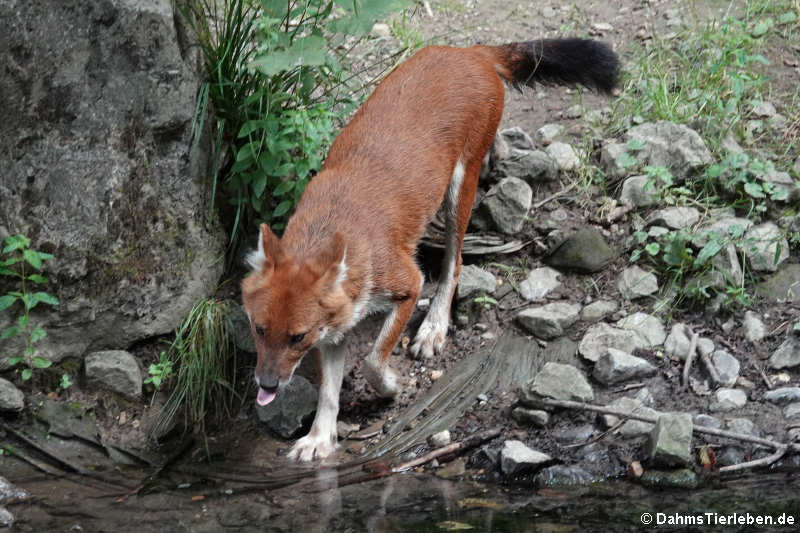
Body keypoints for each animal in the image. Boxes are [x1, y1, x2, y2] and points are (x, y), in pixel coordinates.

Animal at [244, 38, 620, 462]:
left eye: (297, 338)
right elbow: (328, 391)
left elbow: (373, 359)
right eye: (258, 329)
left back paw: (433, 328)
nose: (267, 385)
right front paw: (319, 439)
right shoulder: (337, 328)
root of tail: (469, 52)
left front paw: (391, 385)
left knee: (454, 263)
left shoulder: (406, 282)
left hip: (459, 188)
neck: (328, 227)